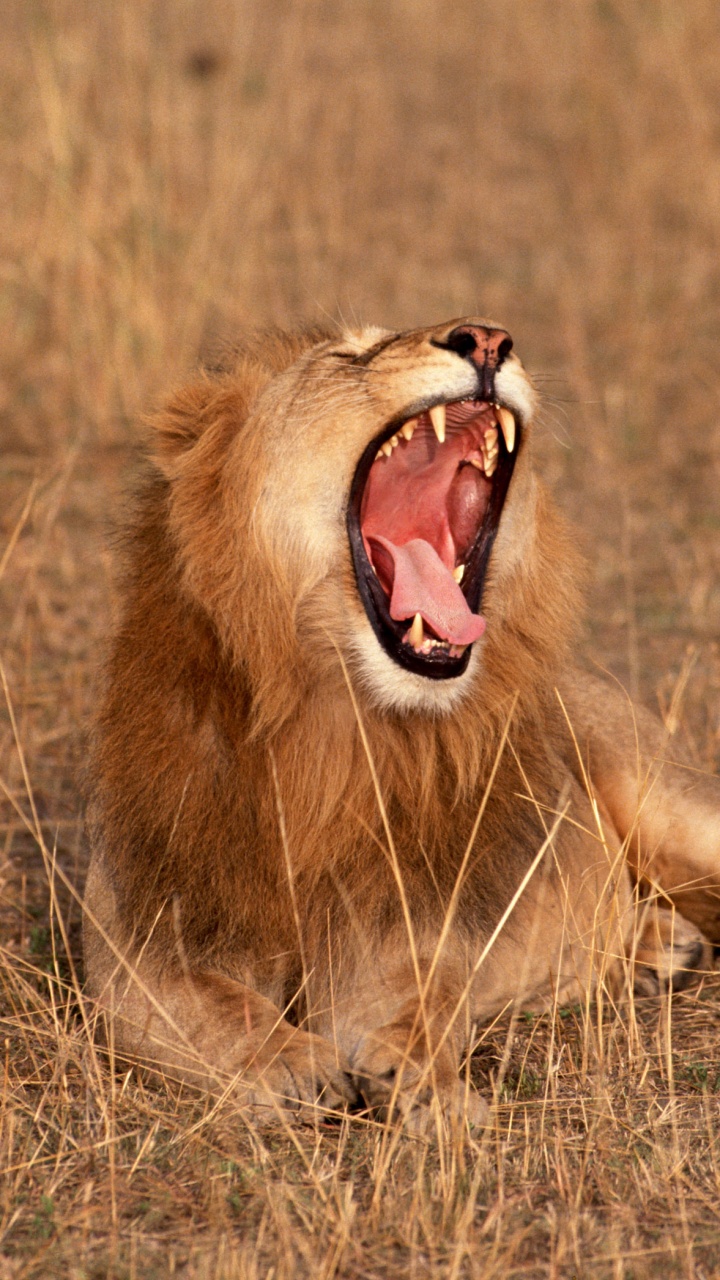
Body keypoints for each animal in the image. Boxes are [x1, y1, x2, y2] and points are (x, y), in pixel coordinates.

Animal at [83, 318, 720, 1129]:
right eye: (350, 355)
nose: (488, 338)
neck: (329, 730)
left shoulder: (404, 925)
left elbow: (423, 1001)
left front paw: (429, 1084)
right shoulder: (137, 943)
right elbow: (209, 1007)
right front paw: (287, 1062)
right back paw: (656, 949)